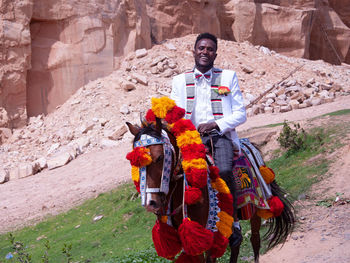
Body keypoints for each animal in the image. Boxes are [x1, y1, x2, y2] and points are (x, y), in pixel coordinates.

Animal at [126, 118, 296, 263]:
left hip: (256, 209)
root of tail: (247, 144)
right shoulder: (186, 239)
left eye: (160, 157)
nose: (151, 202)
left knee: (254, 240)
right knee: (236, 245)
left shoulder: (208, 234)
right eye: (135, 163)